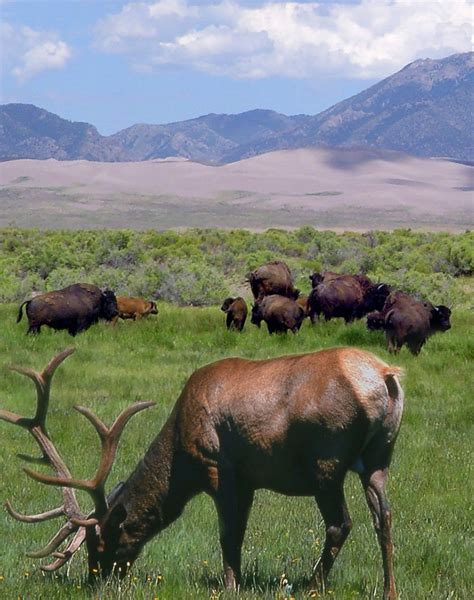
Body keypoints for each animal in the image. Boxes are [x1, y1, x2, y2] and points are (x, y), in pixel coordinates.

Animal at [1, 344, 406, 596]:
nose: (94, 581)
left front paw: (231, 585)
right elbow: (236, 534)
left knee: (341, 524)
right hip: (379, 458)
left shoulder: (219, 468)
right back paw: (390, 589)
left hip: (327, 461)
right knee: (383, 517)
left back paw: (310, 585)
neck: (181, 462)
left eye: (101, 543)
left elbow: (229, 535)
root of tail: (386, 376)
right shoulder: (248, 481)